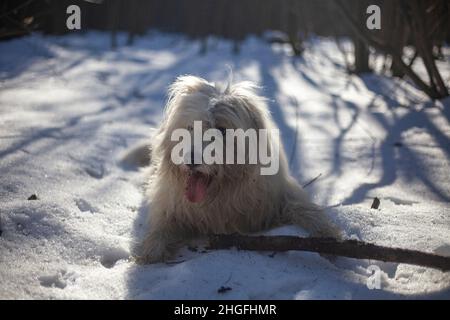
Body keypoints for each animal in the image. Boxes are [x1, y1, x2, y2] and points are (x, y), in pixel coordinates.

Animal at [139, 75, 340, 262]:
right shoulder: (171, 206)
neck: (218, 197)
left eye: (222, 130)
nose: (190, 159)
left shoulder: (279, 197)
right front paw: (152, 249)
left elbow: (307, 211)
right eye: (189, 127)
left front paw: (328, 238)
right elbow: (161, 226)